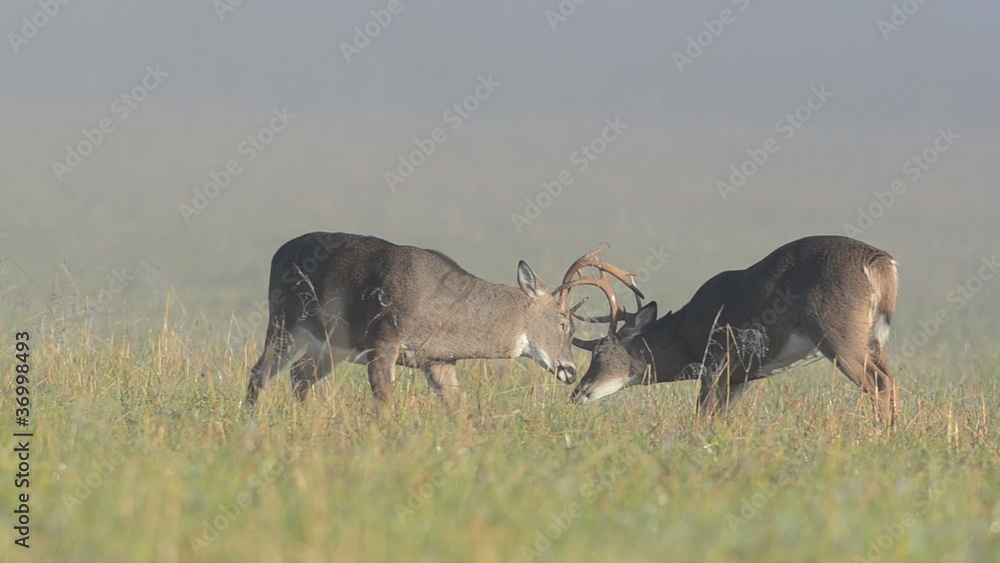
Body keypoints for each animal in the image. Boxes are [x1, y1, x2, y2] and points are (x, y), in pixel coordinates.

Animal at [243, 232, 615, 409]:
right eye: (563, 323)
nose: (569, 371)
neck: (448, 311)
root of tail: (279, 252)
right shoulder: (383, 342)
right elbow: (384, 402)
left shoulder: (439, 361)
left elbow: (461, 410)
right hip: (286, 324)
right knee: (261, 371)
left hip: (330, 346)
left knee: (298, 375)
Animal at [568, 236, 900, 425]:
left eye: (600, 351)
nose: (578, 392)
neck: (685, 337)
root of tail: (879, 261)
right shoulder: (740, 378)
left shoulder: (716, 362)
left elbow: (700, 418)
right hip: (876, 338)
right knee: (891, 380)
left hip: (837, 332)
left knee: (878, 383)